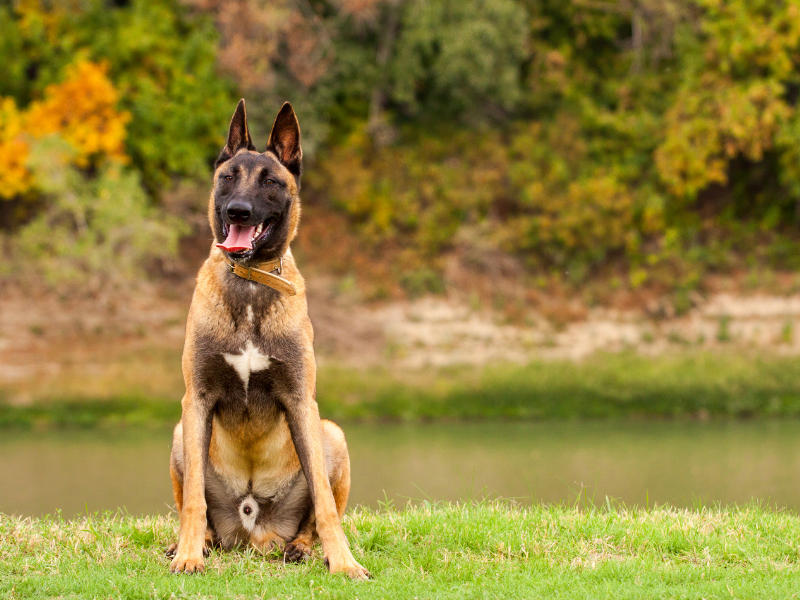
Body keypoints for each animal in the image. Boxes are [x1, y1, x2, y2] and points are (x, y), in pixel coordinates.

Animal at [168, 99, 372, 580]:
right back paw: (199, 543)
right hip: (179, 433)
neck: (250, 286)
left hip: (332, 433)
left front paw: (344, 562)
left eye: (271, 182)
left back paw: (301, 547)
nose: (238, 211)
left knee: (313, 516)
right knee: (196, 506)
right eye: (228, 177)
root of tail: (251, 533)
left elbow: (324, 503)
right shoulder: (195, 401)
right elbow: (193, 501)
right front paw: (188, 555)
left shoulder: (301, 401)